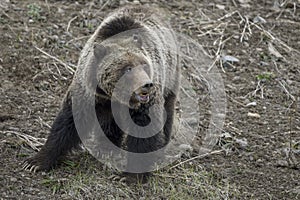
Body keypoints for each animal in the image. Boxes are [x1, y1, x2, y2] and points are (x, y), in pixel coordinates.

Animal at [23, 5, 179, 175]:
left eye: (144, 65)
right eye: (128, 68)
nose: (147, 85)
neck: (114, 95)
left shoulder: (146, 103)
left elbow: (144, 132)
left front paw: (132, 175)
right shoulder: (89, 93)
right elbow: (68, 122)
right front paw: (36, 162)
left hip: (170, 76)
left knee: (167, 111)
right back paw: (106, 146)